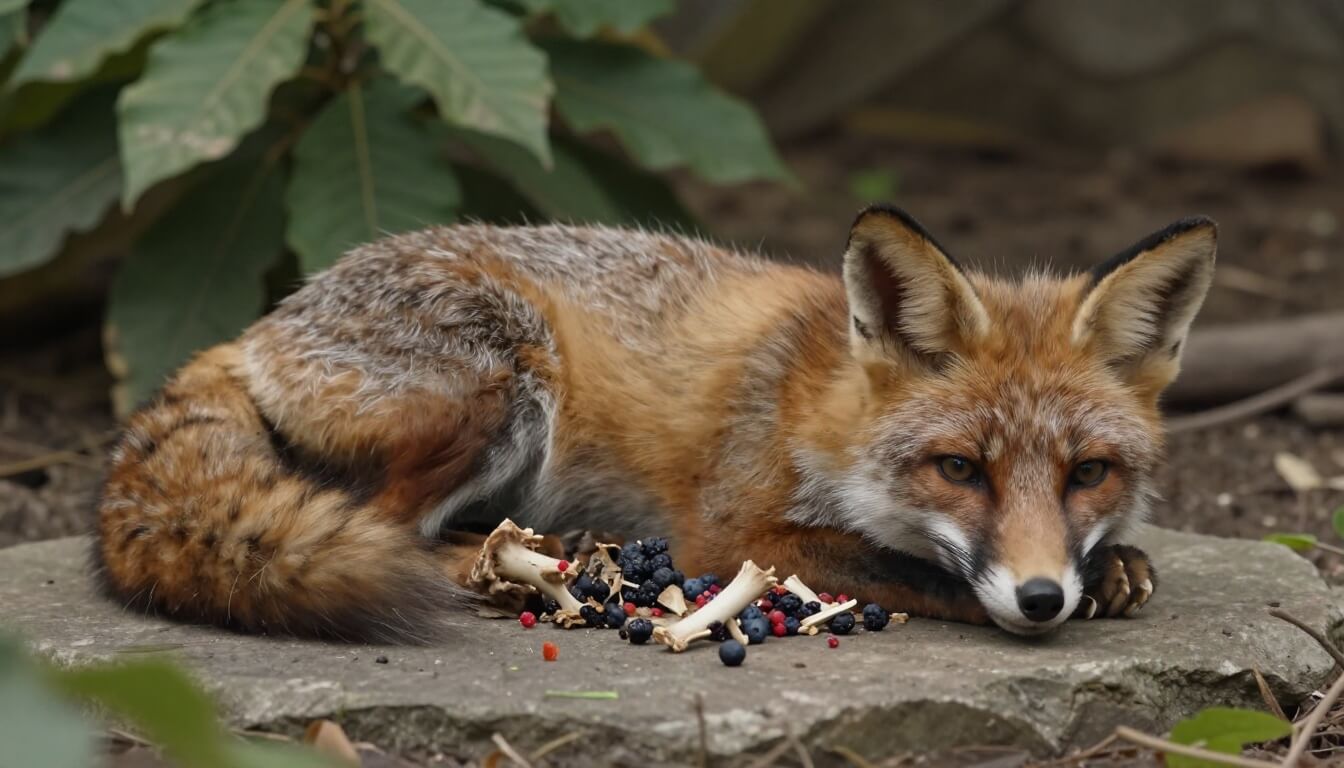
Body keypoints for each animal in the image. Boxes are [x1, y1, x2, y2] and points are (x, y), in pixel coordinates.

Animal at [93, 205, 1216, 640]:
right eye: (959, 470)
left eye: (1088, 474)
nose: (1041, 598)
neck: (821, 406)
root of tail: (265, 321)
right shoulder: (730, 530)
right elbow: (912, 567)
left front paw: (1115, 567)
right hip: (503, 384)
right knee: (390, 529)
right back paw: (521, 563)